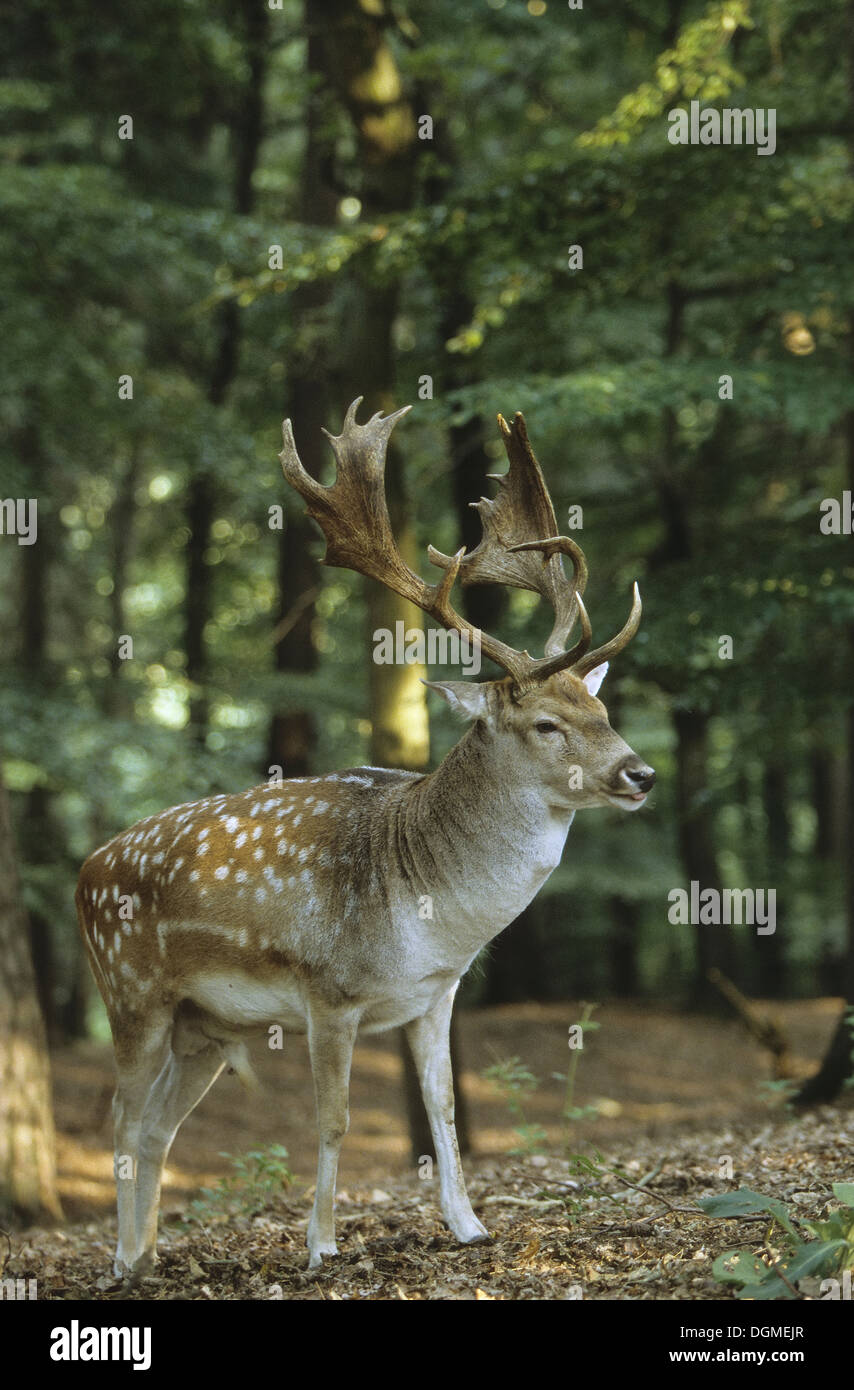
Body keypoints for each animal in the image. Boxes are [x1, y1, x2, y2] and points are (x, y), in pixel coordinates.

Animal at [76, 398, 655, 1278]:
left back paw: (145, 1258)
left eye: (603, 710)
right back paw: (118, 1261)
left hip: (206, 1026)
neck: (429, 912)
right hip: (130, 992)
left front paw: (470, 1226)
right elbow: (335, 1118)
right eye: (547, 724)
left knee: (157, 1127)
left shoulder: (437, 994)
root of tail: (84, 873)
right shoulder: (329, 988)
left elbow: (444, 1110)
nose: (640, 772)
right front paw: (321, 1245)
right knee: (121, 1117)